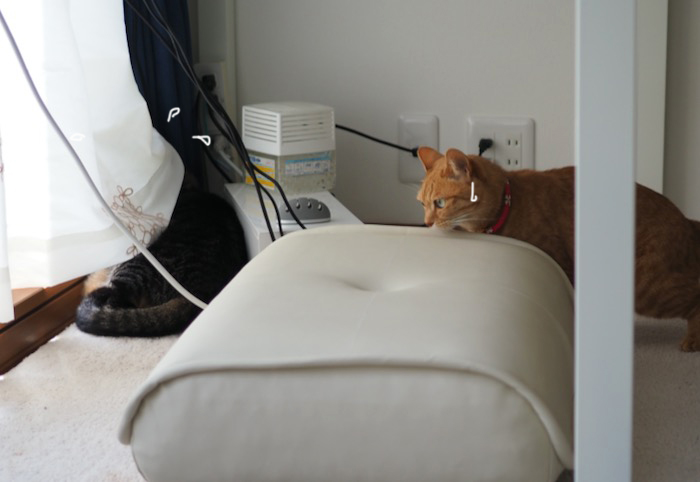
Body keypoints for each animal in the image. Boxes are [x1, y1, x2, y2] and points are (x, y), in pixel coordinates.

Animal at [417, 146, 700, 352]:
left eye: (439, 203)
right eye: (422, 203)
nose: (427, 223)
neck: (508, 206)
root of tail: (686, 221)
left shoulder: (562, 265)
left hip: (646, 285)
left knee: (694, 296)